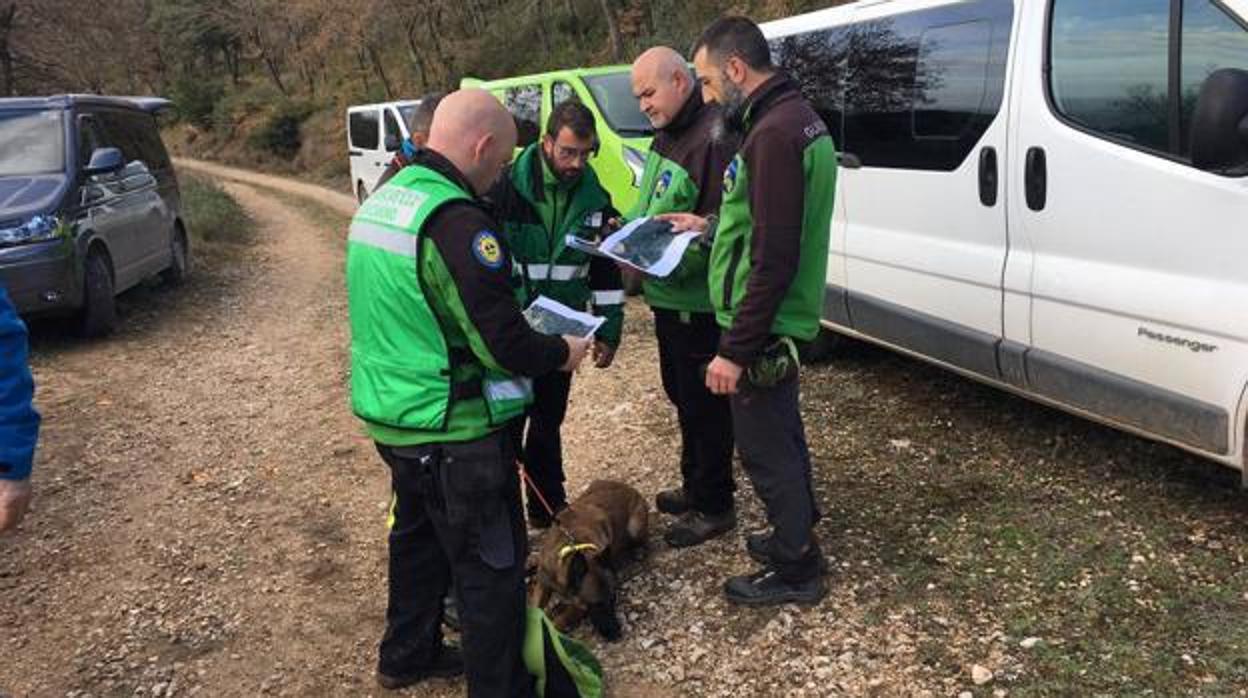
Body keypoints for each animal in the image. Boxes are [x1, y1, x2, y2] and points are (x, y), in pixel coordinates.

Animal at [526, 479, 648, 639]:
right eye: (596, 605)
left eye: (613, 600)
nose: (616, 634)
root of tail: (628, 488)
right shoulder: (543, 584)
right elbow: (536, 607)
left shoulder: (578, 608)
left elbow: (556, 624)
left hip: (634, 527)